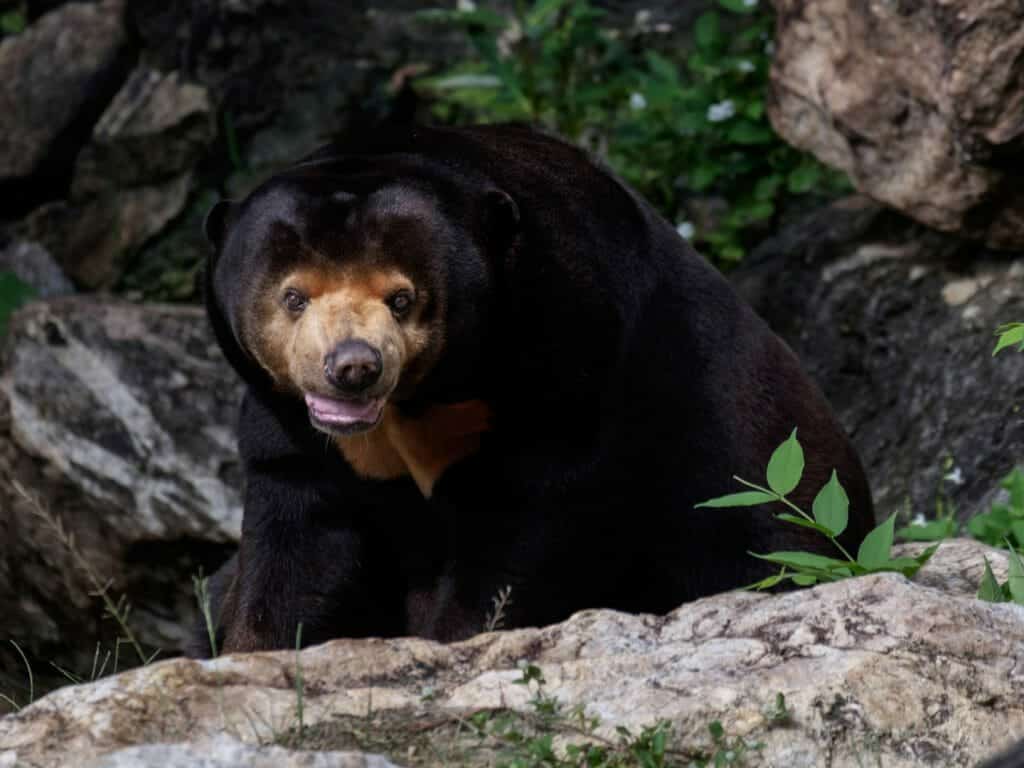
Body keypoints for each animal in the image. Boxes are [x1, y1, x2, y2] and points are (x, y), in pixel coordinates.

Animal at [192, 123, 874, 656]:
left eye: (402, 297)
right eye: (294, 297)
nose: (354, 366)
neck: (418, 405)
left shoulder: (568, 351)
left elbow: (526, 522)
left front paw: (459, 639)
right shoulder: (294, 430)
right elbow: (295, 545)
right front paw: (260, 648)